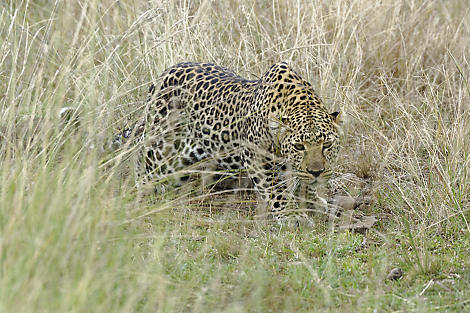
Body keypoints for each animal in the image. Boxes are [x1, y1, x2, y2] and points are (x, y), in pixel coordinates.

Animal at [126, 61, 338, 222]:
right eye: (299, 147)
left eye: (327, 145)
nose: (317, 172)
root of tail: (166, 72)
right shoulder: (256, 156)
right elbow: (276, 189)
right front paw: (292, 215)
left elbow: (302, 182)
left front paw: (313, 203)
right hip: (164, 145)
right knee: (143, 155)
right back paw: (143, 189)